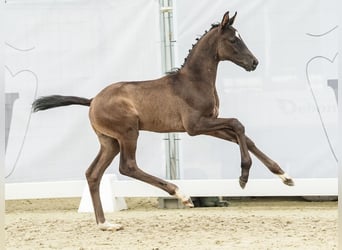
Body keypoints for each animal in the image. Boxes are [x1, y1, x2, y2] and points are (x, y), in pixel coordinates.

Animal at [31, 11, 294, 230]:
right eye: (232, 40)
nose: (254, 63)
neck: (194, 81)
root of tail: (93, 99)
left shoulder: (209, 124)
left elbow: (244, 138)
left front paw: (284, 176)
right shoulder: (195, 126)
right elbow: (239, 124)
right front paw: (243, 178)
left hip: (109, 142)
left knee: (93, 174)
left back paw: (105, 224)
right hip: (129, 133)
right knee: (127, 166)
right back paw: (181, 194)